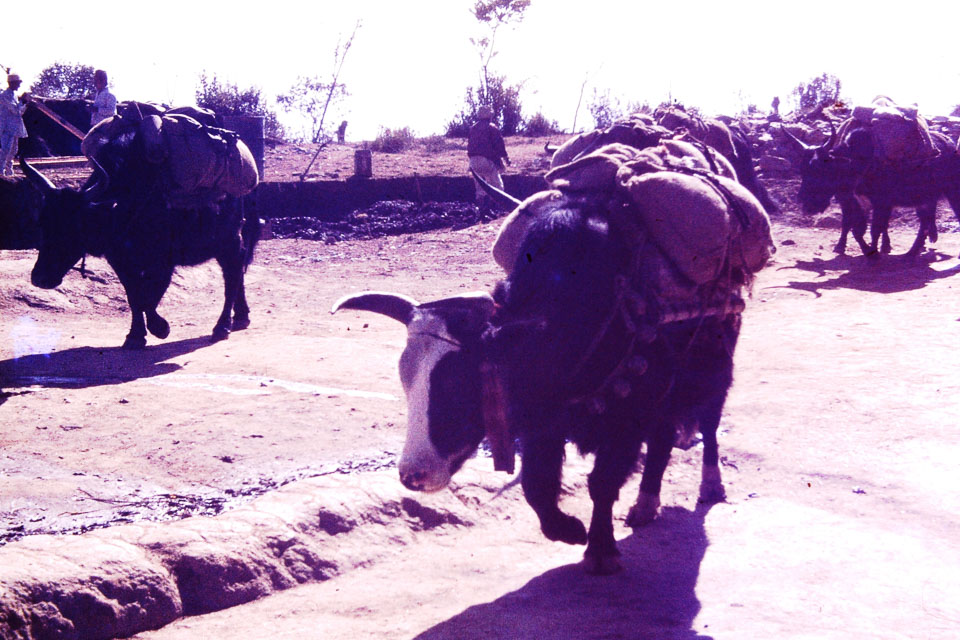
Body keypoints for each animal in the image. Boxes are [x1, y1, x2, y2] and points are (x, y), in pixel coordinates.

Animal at [21, 156, 260, 349]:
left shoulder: (163, 263)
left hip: (229, 241)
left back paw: (222, 326)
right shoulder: (120, 262)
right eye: (43, 222)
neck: (124, 208)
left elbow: (149, 297)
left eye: (74, 226)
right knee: (238, 273)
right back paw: (242, 315)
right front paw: (135, 336)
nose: (40, 278)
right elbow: (135, 297)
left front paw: (160, 328)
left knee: (232, 276)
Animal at [333, 164, 767, 573]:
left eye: (457, 384)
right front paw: (568, 530)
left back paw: (710, 486)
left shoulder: (628, 416)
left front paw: (600, 552)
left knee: (707, 425)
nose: (412, 475)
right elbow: (536, 485)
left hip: (714, 371)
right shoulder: (544, 420)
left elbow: (602, 482)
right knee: (662, 438)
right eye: (406, 379)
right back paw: (645, 505)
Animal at [784, 121, 960, 257]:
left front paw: (874, 252)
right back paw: (913, 251)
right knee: (925, 222)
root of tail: (952, 146)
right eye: (802, 169)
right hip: (925, 198)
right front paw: (865, 250)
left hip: (951, 193)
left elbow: (875, 229)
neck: (856, 163)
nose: (806, 204)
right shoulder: (854, 202)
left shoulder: (881, 203)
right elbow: (856, 228)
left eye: (820, 169)